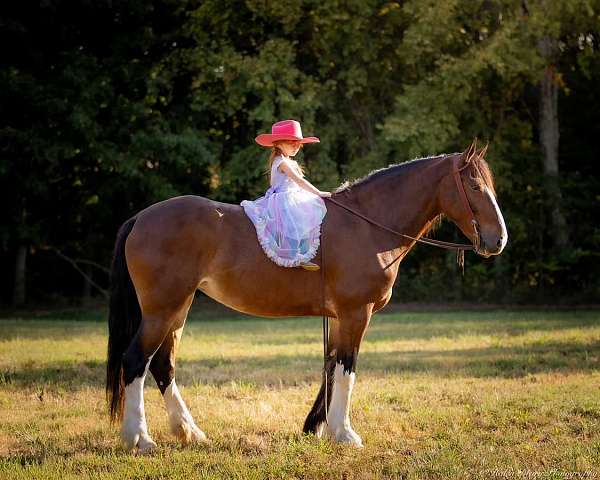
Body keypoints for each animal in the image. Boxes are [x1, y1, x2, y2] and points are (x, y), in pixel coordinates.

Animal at [105, 141, 504, 452]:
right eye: (474, 186)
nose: (499, 239)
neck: (367, 226)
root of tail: (141, 218)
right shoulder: (356, 313)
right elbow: (346, 368)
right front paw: (345, 433)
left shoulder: (341, 317)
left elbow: (331, 366)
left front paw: (317, 427)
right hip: (162, 309)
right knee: (135, 361)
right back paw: (140, 438)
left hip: (179, 308)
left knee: (162, 365)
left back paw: (189, 432)